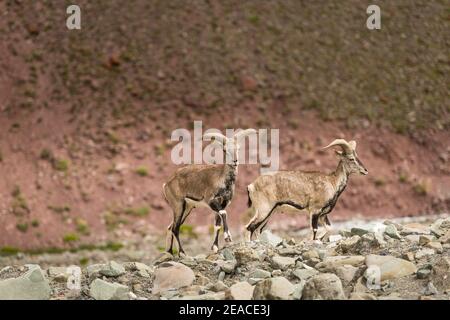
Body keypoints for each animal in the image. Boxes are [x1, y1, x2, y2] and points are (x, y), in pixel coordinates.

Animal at [164, 127, 256, 255]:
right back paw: (182, 253)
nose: (235, 161)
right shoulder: (211, 201)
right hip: (178, 205)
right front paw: (228, 237)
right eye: (224, 149)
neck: (222, 180)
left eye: (238, 148)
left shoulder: (223, 203)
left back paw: (169, 252)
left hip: (187, 208)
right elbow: (223, 213)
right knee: (175, 228)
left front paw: (215, 247)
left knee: (170, 227)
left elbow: (217, 224)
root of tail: (167, 184)